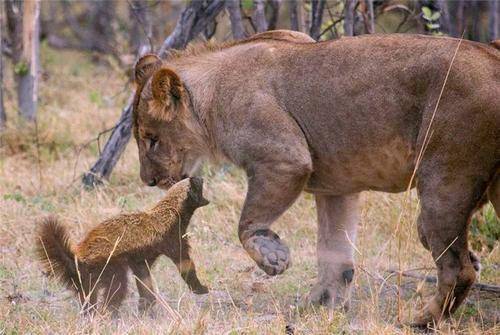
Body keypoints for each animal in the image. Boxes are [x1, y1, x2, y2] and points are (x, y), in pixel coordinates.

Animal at [37, 178, 209, 316]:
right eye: (196, 183)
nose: (201, 177)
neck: (171, 212)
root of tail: (78, 258)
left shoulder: (141, 258)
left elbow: (144, 279)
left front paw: (146, 305)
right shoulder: (172, 239)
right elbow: (185, 264)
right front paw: (201, 289)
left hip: (88, 279)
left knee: (88, 297)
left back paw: (90, 315)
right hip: (109, 265)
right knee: (117, 287)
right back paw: (109, 314)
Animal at [130, 30, 500, 326]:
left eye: (151, 139)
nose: (148, 181)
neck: (210, 98)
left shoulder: (285, 158)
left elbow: (246, 223)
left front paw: (273, 257)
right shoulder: (338, 186)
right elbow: (334, 253)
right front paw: (319, 306)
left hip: (444, 181)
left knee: (457, 268)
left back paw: (420, 320)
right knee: (456, 257)